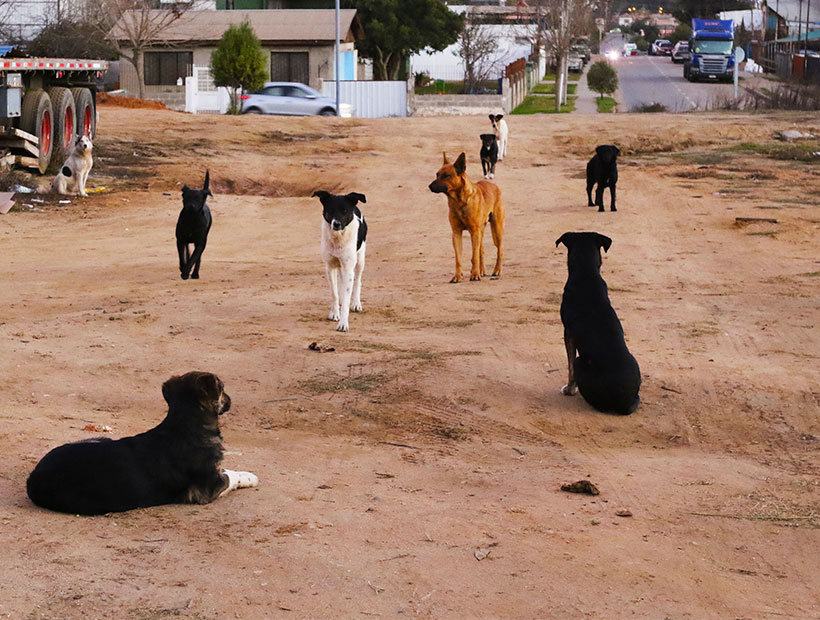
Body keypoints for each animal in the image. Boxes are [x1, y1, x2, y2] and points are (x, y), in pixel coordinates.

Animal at [310, 190, 368, 332]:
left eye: (345, 211)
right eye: (330, 210)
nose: (336, 224)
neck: (338, 238)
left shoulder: (348, 268)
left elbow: (347, 297)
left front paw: (343, 323)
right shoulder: (330, 266)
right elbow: (334, 293)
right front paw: (335, 313)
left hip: (360, 260)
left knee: (357, 281)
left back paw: (356, 303)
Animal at [430, 153, 506, 284]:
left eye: (447, 176)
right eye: (437, 174)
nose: (429, 186)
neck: (459, 201)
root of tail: (494, 185)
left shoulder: (474, 232)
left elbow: (474, 256)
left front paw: (475, 275)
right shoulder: (456, 233)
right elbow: (459, 258)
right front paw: (458, 276)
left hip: (497, 228)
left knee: (499, 250)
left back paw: (497, 270)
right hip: (481, 231)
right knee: (481, 250)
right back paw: (482, 270)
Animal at [556, 232, 640, 416]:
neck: (586, 273)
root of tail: (625, 403)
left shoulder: (568, 332)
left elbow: (569, 366)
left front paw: (569, 390)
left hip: (581, 361)